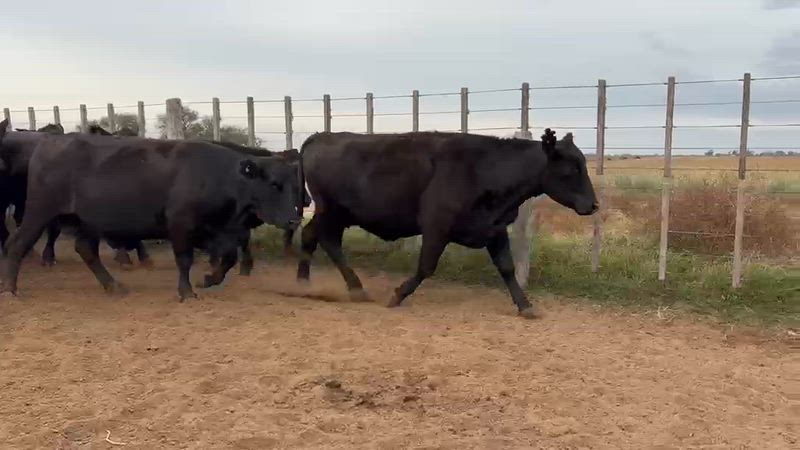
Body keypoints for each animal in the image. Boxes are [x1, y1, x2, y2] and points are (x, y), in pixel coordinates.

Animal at [0, 122, 303, 300]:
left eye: (296, 184)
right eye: (274, 184)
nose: (294, 219)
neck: (218, 176)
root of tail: (49, 142)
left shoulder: (222, 231)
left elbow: (228, 259)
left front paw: (208, 279)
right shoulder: (181, 226)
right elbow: (184, 260)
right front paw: (187, 292)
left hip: (87, 222)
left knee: (86, 249)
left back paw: (113, 286)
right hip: (39, 212)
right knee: (17, 244)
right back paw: (11, 288)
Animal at [295, 129, 598, 318]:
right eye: (572, 168)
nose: (593, 205)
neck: (485, 169)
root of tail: (321, 136)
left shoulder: (495, 228)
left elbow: (507, 268)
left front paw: (525, 306)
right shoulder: (436, 227)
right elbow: (426, 267)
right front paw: (398, 295)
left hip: (334, 214)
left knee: (311, 237)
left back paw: (303, 283)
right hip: (331, 212)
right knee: (327, 241)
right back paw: (355, 288)